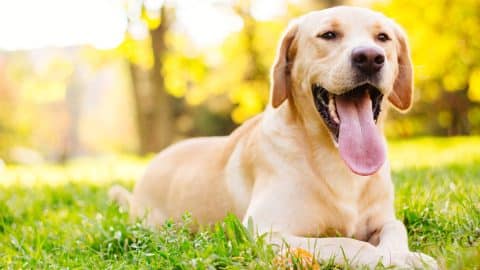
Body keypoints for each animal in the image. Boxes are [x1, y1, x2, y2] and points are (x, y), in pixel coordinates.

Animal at [109, 5, 438, 268]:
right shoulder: (266, 231)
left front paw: (404, 254)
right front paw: (392, 258)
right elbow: (347, 243)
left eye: (383, 38)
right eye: (329, 35)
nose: (370, 57)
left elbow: (396, 228)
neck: (335, 158)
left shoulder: (383, 219)